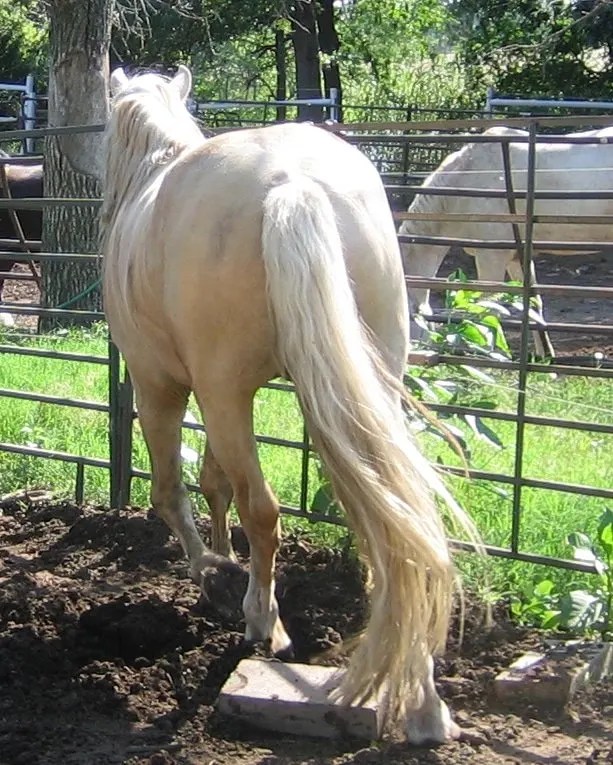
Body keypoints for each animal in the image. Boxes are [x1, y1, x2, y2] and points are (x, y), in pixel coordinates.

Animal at [101, 65, 478, 744]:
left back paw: (262, 620)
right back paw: (424, 705)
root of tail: (293, 184)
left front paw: (212, 571)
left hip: (222, 392)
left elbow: (174, 490)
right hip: (365, 387)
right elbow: (214, 482)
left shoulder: (160, 385)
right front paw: (223, 561)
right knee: (396, 521)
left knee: (263, 509)